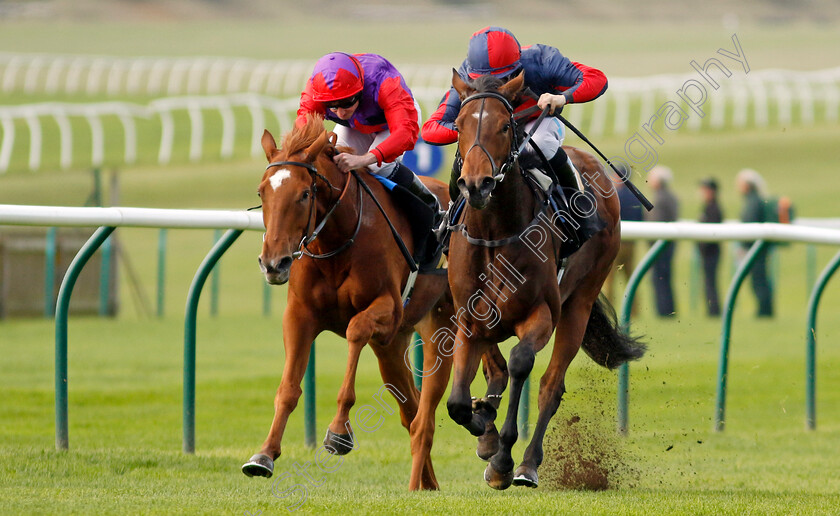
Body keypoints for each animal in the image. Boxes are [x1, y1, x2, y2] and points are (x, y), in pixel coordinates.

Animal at [240, 115, 456, 490]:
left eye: (305, 194)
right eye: (261, 192)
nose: (273, 263)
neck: (337, 241)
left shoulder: (387, 308)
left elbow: (355, 331)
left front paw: (339, 431)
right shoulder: (300, 316)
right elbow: (288, 387)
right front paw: (264, 455)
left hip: (442, 327)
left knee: (425, 412)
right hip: (392, 346)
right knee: (412, 411)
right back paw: (426, 484)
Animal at [442, 71, 648, 488]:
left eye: (505, 126)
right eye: (458, 125)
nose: (477, 184)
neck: (494, 233)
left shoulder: (541, 313)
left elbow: (521, 362)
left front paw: (503, 459)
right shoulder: (468, 317)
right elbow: (459, 400)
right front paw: (483, 420)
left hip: (579, 302)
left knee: (551, 386)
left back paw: (526, 464)